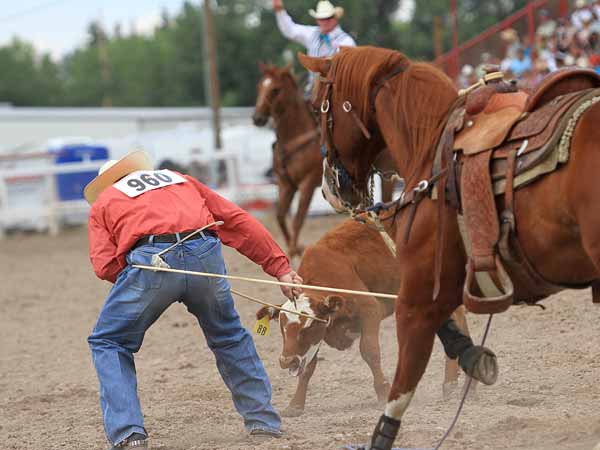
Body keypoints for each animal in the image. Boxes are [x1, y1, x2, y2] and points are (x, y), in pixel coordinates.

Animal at [255, 220, 472, 416]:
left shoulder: (370, 310)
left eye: (307, 327)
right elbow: (308, 366)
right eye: (282, 329)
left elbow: (369, 351)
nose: (286, 361)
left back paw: (451, 382)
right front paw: (295, 405)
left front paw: (383, 392)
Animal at [302, 46, 600, 450]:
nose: (329, 188)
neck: (430, 147)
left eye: (317, 105)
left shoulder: (418, 295)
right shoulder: (442, 286)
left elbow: (401, 388)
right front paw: (474, 359)